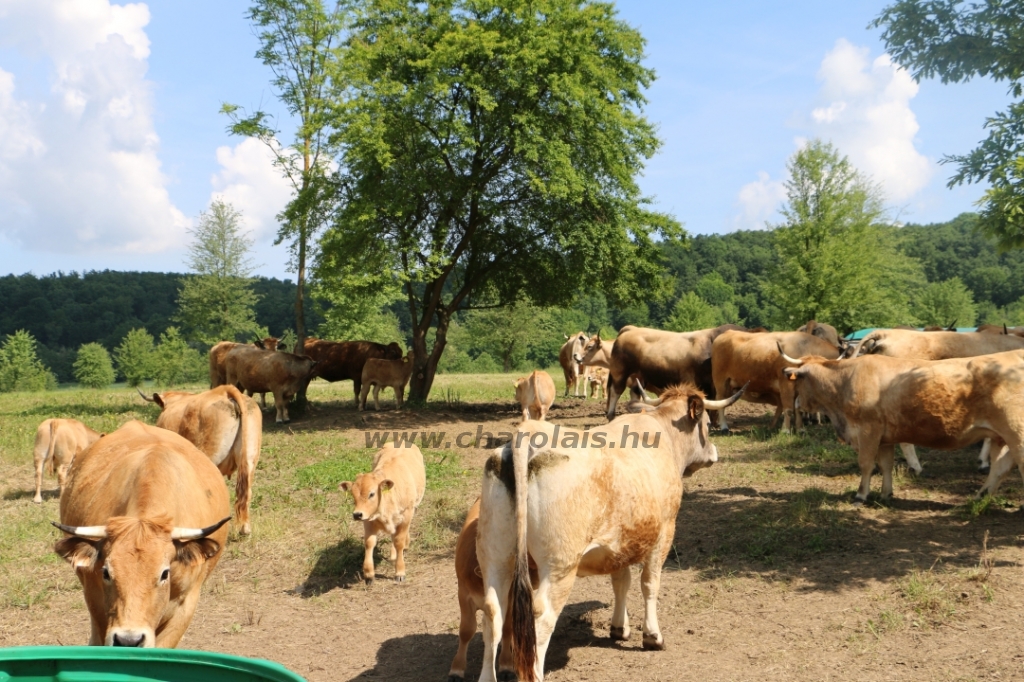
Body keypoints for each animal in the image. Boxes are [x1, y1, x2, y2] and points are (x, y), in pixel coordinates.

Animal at [339, 444, 423, 581]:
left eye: (372, 494)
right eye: (353, 494)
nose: (357, 514)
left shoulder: (406, 515)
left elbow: (399, 541)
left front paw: (400, 571)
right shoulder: (368, 519)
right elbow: (369, 543)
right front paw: (369, 573)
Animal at [598, 323, 745, 419]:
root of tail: (628, 331)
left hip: (638, 376)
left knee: (634, 393)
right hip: (620, 372)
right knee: (616, 391)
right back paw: (610, 415)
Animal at [778, 348, 1024, 501]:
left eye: (799, 380)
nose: (797, 403)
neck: (846, 380)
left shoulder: (868, 430)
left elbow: (866, 464)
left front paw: (861, 495)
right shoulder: (885, 436)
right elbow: (886, 465)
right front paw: (886, 494)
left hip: (1016, 434)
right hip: (1002, 436)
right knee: (1000, 467)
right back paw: (980, 497)